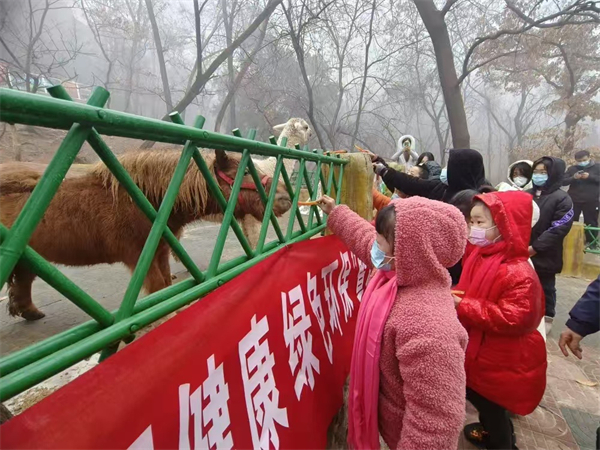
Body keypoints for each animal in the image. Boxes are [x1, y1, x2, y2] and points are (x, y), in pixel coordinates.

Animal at [0, 149, 290, 318]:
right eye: (245, 173)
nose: (285, 199)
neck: (149, 201)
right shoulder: (142, 258)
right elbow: (158, 289)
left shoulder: (160, 253)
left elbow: (166, 287)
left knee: (23, 281)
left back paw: (30, 312)